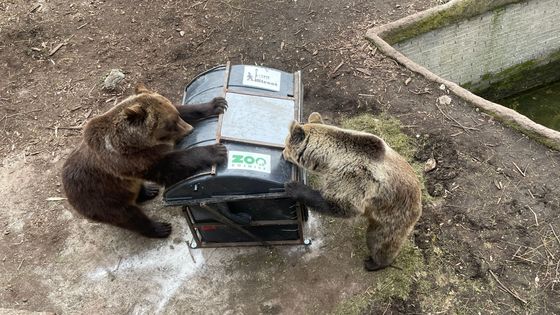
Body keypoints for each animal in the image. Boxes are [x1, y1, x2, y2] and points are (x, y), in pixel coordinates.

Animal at [61, 84, 228, 237]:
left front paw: (217, 104)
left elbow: (184, 109)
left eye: (176, 117)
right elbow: (168, 166)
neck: (133, 144)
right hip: (102, 199)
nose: (190, 130)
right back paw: (160, 228)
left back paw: (148, 191)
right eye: (170, 124)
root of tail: (68, 194)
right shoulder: (127, 161)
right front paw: (216, 151)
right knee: (129, 217)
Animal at [284, 113, 420, 272]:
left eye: (285, 144)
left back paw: (374, 263)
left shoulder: (355, 177)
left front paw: (293, 187)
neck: (330, 159)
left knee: (380, 240)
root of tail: (419, 199)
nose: (283, 153)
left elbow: (341, 205)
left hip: (393, 214)